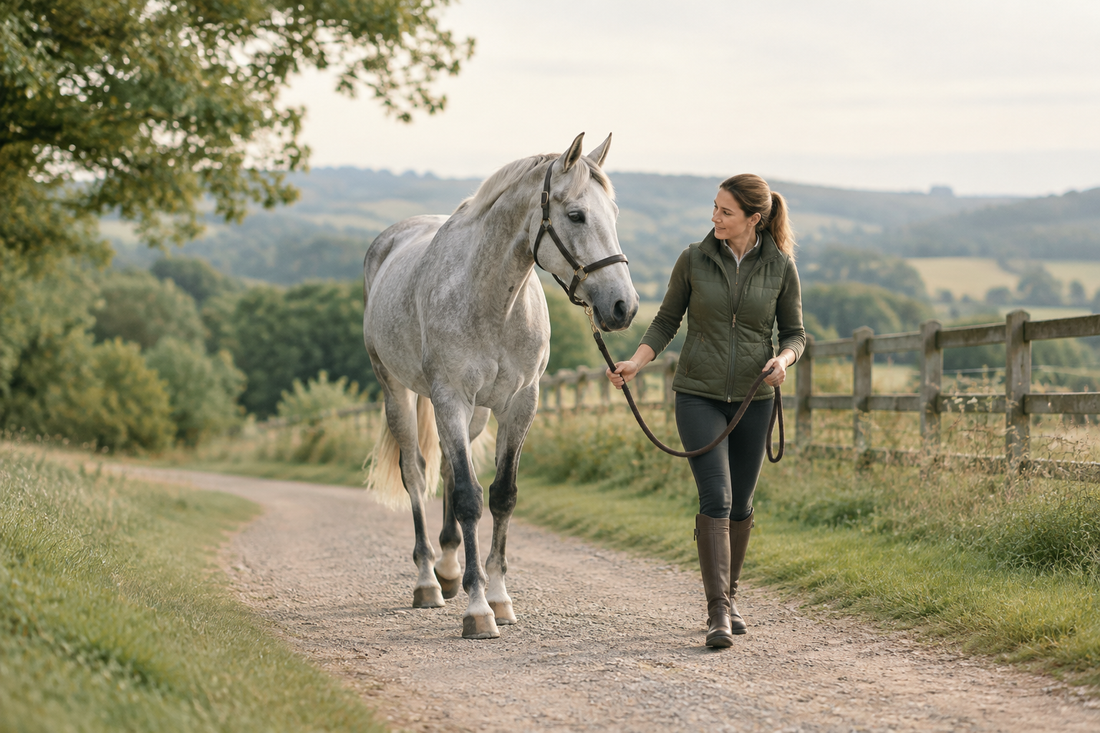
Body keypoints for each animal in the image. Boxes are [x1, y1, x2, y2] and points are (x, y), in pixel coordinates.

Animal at [363, 132, 638, 639]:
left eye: (613, 214)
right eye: (576, 215)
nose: (622, 307)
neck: (493, 300)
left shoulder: (519, 404)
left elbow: (502, 496)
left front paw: (498, 596)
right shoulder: (450, 397)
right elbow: (471, 499)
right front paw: (478, 610)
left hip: (474, 414)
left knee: (450, 471)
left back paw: (450, 570)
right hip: (399, 392)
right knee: (416, 473)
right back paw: (428, 581)